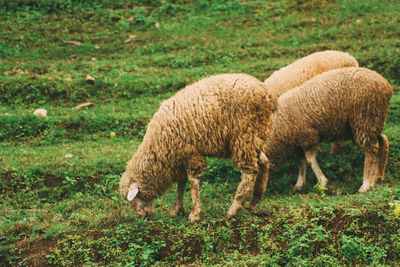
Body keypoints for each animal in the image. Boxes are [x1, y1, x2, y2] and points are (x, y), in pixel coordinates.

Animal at [119, 74, 276, 222]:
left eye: (135, 197)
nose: (142, 216)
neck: (158, 148)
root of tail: (268, 95)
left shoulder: (191, 154)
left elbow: (193, 184)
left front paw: (194, 213)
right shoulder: (180, 157)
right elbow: (181, 184)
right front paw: (177, 209)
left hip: (244, 135)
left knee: (249, 172)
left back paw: (234, 209)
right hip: (255, 137)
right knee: (264, 163)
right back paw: (253, 201)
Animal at [248, 67, 392, 209]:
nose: (252, 199)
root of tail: (386, 85)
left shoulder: (308, 135)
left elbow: (310, 160)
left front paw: (322, 182)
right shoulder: (299, 141)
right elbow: (302, 161)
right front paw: (300, 184)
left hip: (365, 118)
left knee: (371, 150)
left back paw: (366, 184)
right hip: (375, 120)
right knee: (383, 141)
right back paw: (378, 177)